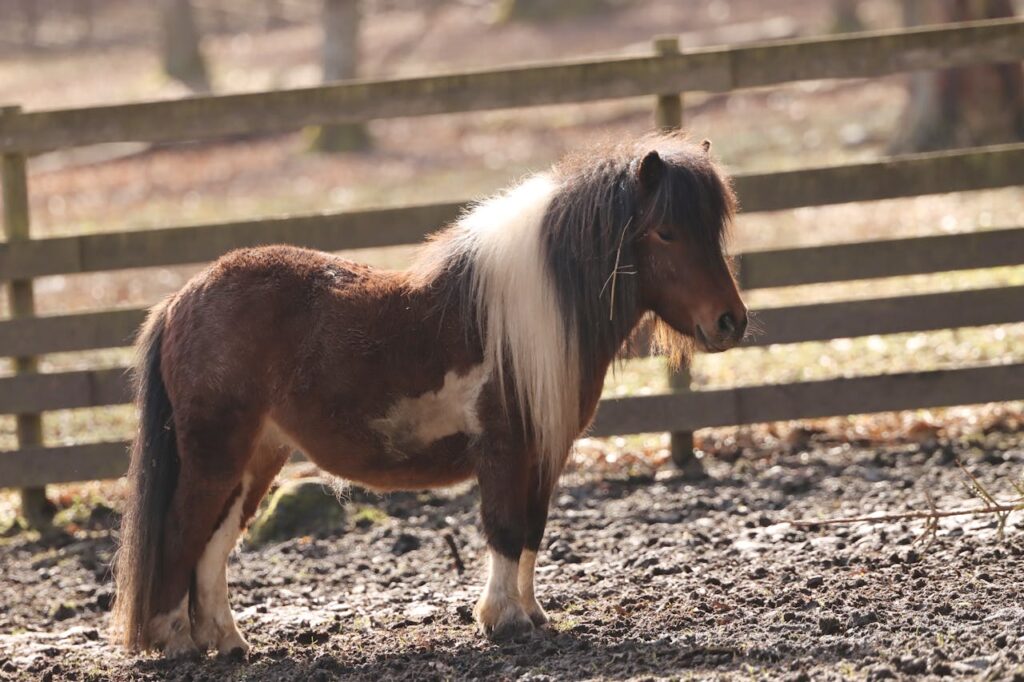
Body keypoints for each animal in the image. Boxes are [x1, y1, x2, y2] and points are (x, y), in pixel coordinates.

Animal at [111, 132, 748, 658]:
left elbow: (532, 531)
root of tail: (181, 298)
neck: (527, 316)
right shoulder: (504, 450)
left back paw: (229, 643)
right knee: (182, 534)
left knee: (212, 545)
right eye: (665, 232)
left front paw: (533, 614)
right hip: (215, 456)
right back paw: (176, 641)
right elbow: (505, 529)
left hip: (255, 458)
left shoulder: (544, 454)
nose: (730, 322)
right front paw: (503, 621)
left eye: (713, 231)